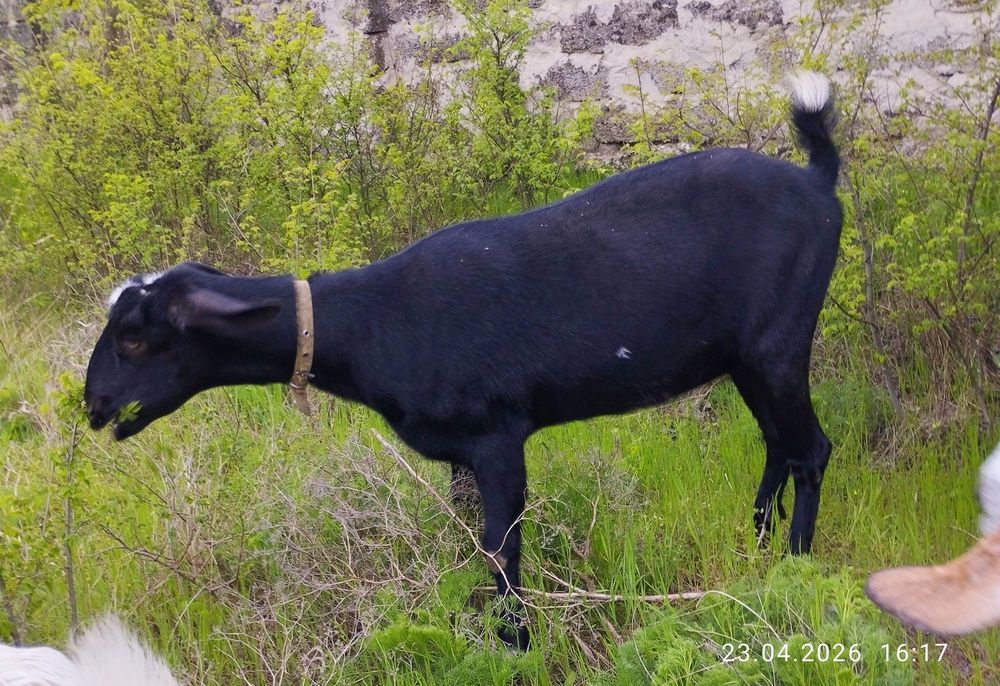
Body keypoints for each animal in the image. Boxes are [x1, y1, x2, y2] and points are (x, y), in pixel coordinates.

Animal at [84, 72, 841, 649]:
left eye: (135, 337)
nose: (93, 405)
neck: (374, 324)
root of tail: (819, 184)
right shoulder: (459, 456)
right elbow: (468, 546)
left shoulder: (497, 437)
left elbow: (499, 550)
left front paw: (516, 645)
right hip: (745, 356)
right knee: (777, 444)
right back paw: (757, 548)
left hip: (779, 338)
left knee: (811, 449)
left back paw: (796, 568)